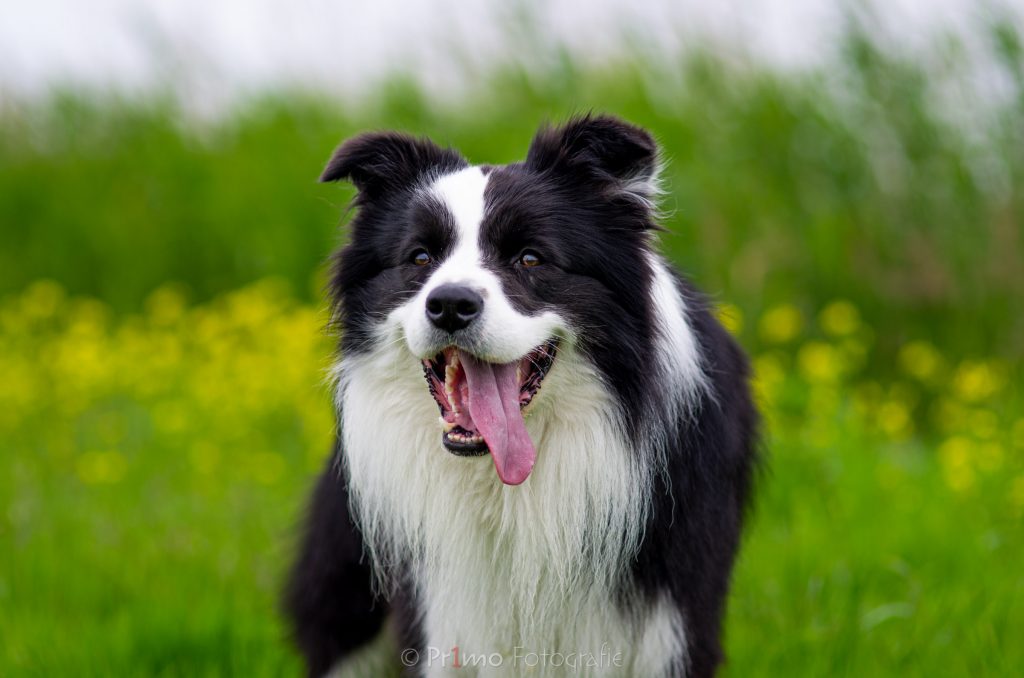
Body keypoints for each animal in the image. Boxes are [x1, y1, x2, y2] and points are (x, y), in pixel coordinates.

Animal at [284, 114, 757, 675]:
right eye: (420, 257)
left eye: (530, 258)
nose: (450, 304)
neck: (508, 486)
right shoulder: (443, 618)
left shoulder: (666, 627)